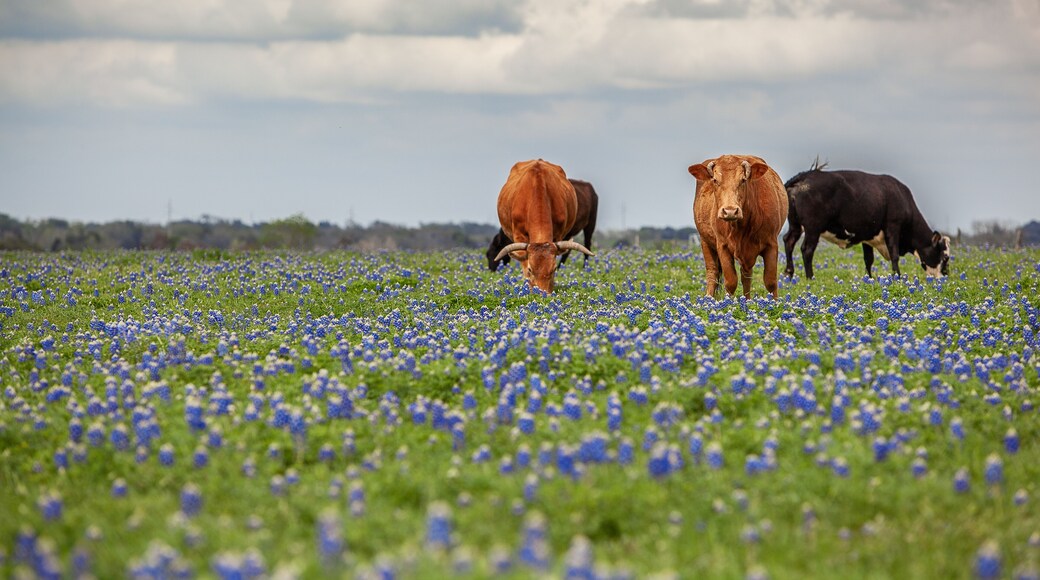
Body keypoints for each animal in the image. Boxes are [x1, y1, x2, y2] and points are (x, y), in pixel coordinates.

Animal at [494, 159, 594, 293]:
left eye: (554, 269)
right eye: (530, 269)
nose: (542, 294)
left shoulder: (559, 234)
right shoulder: (519, 235)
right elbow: (524, 261)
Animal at [688, 154, 788, 299]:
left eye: (743, 180)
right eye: (715, 180)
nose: (730, 211)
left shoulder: (771, 244)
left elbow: (770, 281)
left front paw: (775, 302)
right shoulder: (722, 246)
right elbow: (730, 282)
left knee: (746, 275)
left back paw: (747, 300)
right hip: (705, 241)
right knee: (712, 272)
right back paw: (709, 298)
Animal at [782, 161, 950, 279]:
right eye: (945, 256)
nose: (945, 276)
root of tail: (805, 176)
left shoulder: (867, 235)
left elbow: (868, 259)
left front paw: (869, 278)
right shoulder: (893, 227)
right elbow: (894, 255)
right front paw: (897, 276)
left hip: (796, 225)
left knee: (788, 241)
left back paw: (789, 274)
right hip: (813, 227)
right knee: (807, 250)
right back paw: (810, 277)